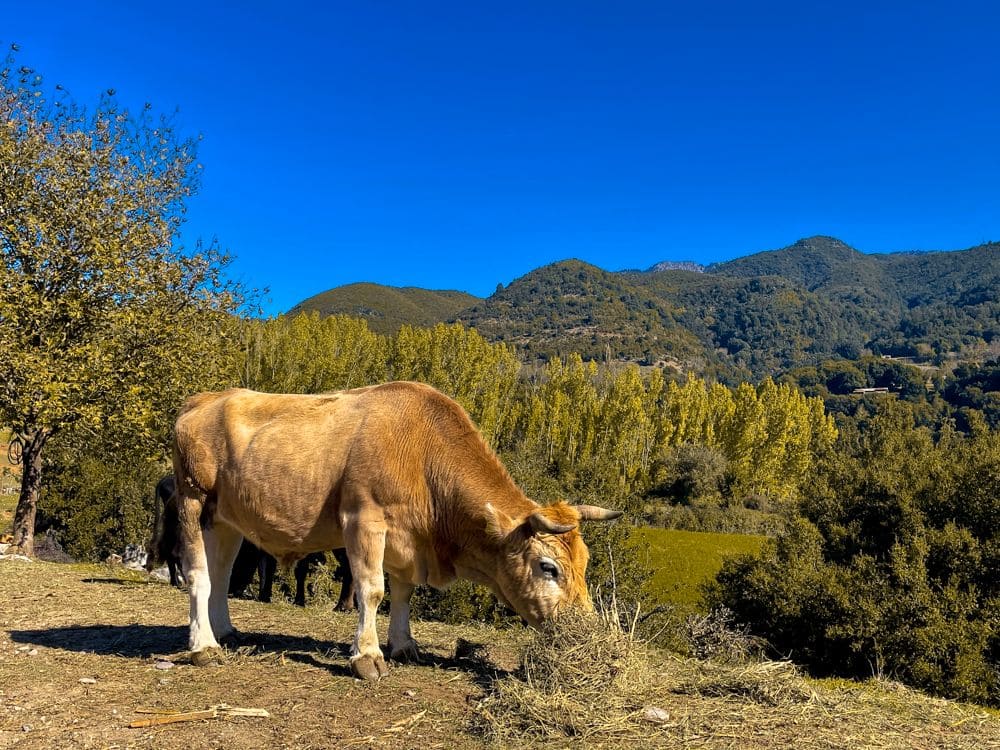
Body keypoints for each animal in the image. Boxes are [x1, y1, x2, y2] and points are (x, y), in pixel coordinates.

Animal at [176, 382, 620, 680]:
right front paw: (367, 656)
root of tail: (205, 400)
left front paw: (404, 644)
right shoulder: (363, 520)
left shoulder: (409, 540)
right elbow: (372, 589)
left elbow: (403, 592)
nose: (586, 632)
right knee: (199, 575)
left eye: (585, 564)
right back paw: (204, 646)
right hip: (191, 498)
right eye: (548, 567)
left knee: (221, 572)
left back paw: (224, 630)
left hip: (226, 518)